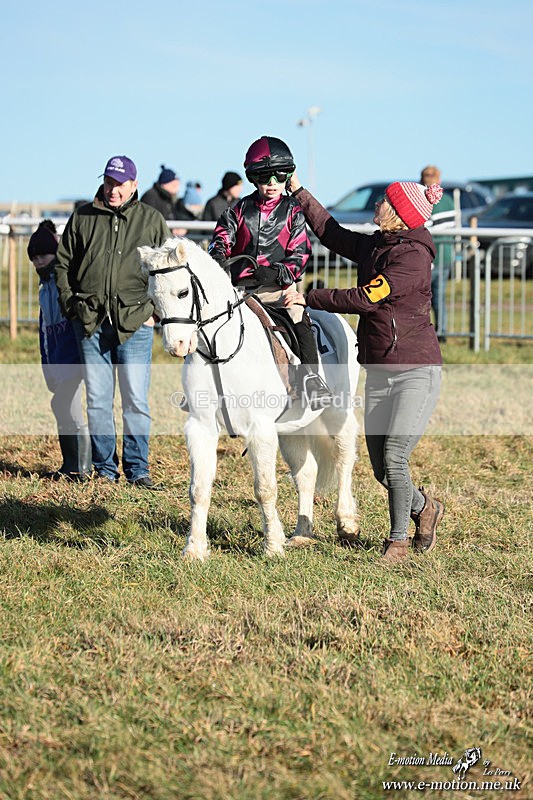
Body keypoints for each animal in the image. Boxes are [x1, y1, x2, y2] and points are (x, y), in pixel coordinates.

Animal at [138, 237, 360, 561]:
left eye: (183, 292)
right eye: (153, 298)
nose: (176, 346)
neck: (219, 348)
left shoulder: (260, 429)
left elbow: (264, 488)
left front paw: (272, 546)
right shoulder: (201, 427)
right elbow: (199, 489)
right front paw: (194, 549)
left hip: (337, 413)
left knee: (344, 456)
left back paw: (346, 523)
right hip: (291, 429)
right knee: (307, 472)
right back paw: (301, 534)